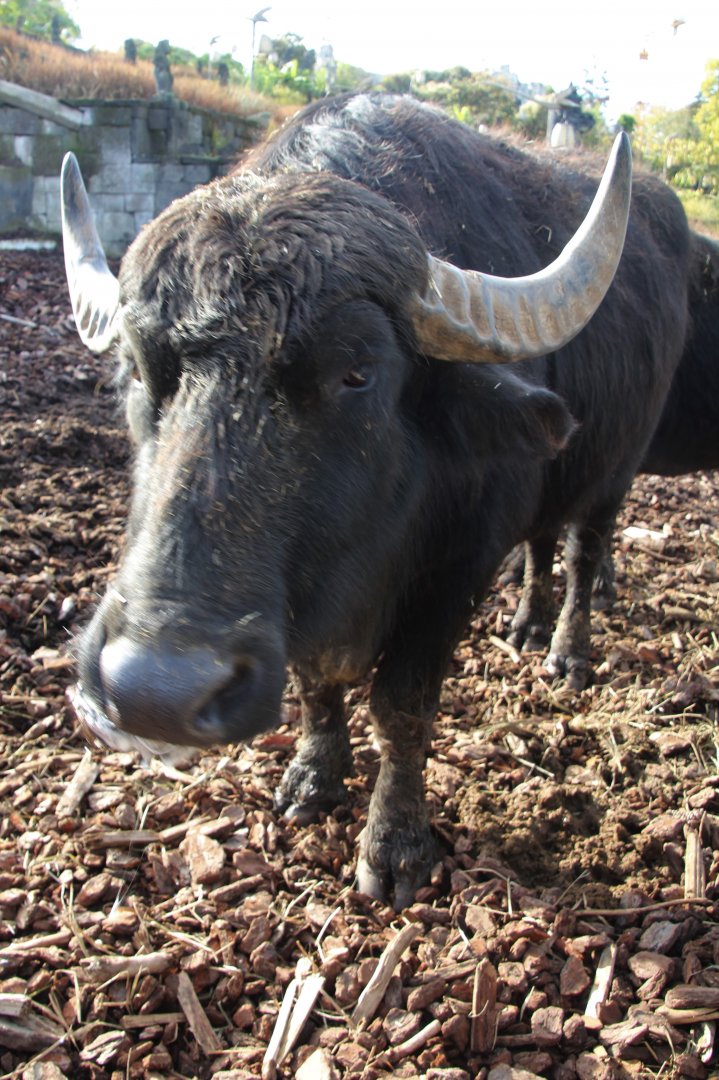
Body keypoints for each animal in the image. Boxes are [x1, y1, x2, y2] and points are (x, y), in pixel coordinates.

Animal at [63, 94, 692, 907]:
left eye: (356, 372)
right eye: (139, 369)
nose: (155, 693)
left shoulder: (455, 572)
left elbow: (401, 705)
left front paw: (394, 848)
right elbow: (315, 684)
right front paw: (312, 778)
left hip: (614, 472)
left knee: (583, 554)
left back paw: (564, 653)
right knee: (543, 543)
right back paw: (524, 625)